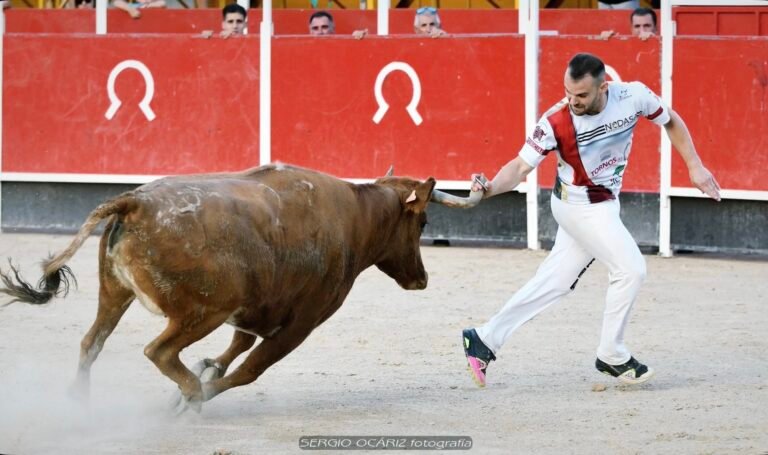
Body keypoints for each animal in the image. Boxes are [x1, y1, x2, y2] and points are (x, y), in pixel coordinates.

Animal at [0, 163, 482, 413]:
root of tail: (134, 201)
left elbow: (237, 348)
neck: (355, 217)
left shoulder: (257, 308)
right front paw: (199, 387)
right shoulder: (301, 322)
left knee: (92, 342)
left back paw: (80, 402)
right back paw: (190, 397)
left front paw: (207, 367)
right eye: (424, 222)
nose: (421, 279)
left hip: (114, 292)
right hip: (202, 311)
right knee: (159, 351)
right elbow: (250, 368)